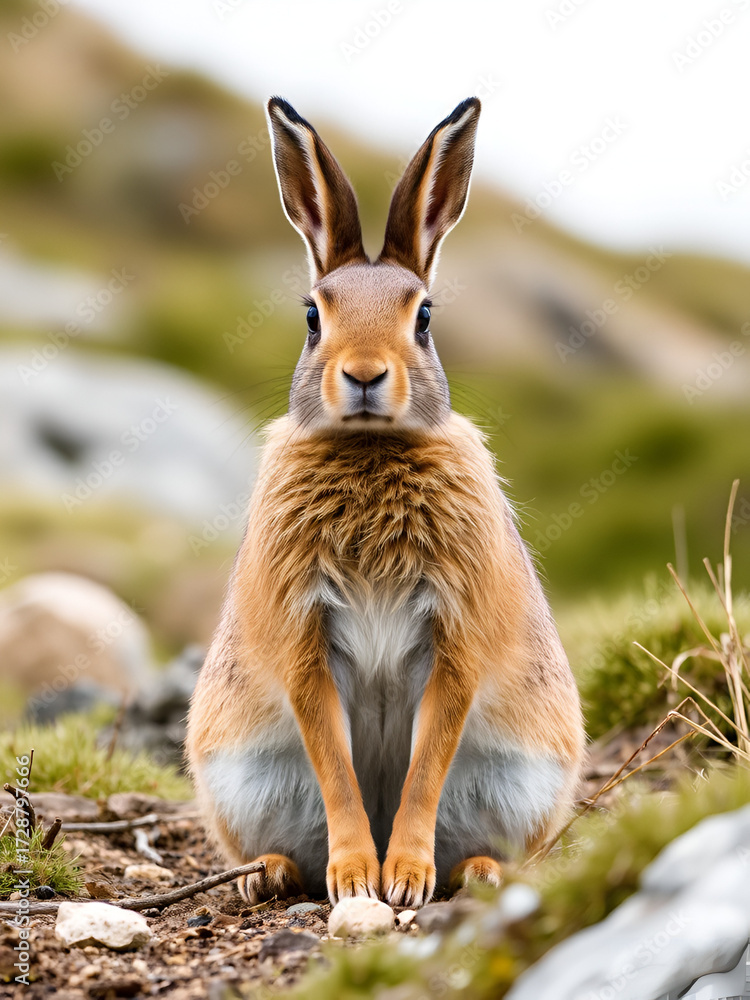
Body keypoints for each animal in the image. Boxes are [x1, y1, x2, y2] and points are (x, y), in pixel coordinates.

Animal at [186, 96, 585, 909]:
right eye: (312, 316)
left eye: (425, 317)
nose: (365, 374)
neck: (371, 447)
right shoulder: (304, 635)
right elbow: (334, 764)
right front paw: (356, 879)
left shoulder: (455, 634)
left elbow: (426, 765)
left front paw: (401, 879)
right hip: (241, 779)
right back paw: (269, 874)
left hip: (522, 781)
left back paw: (478, 872)